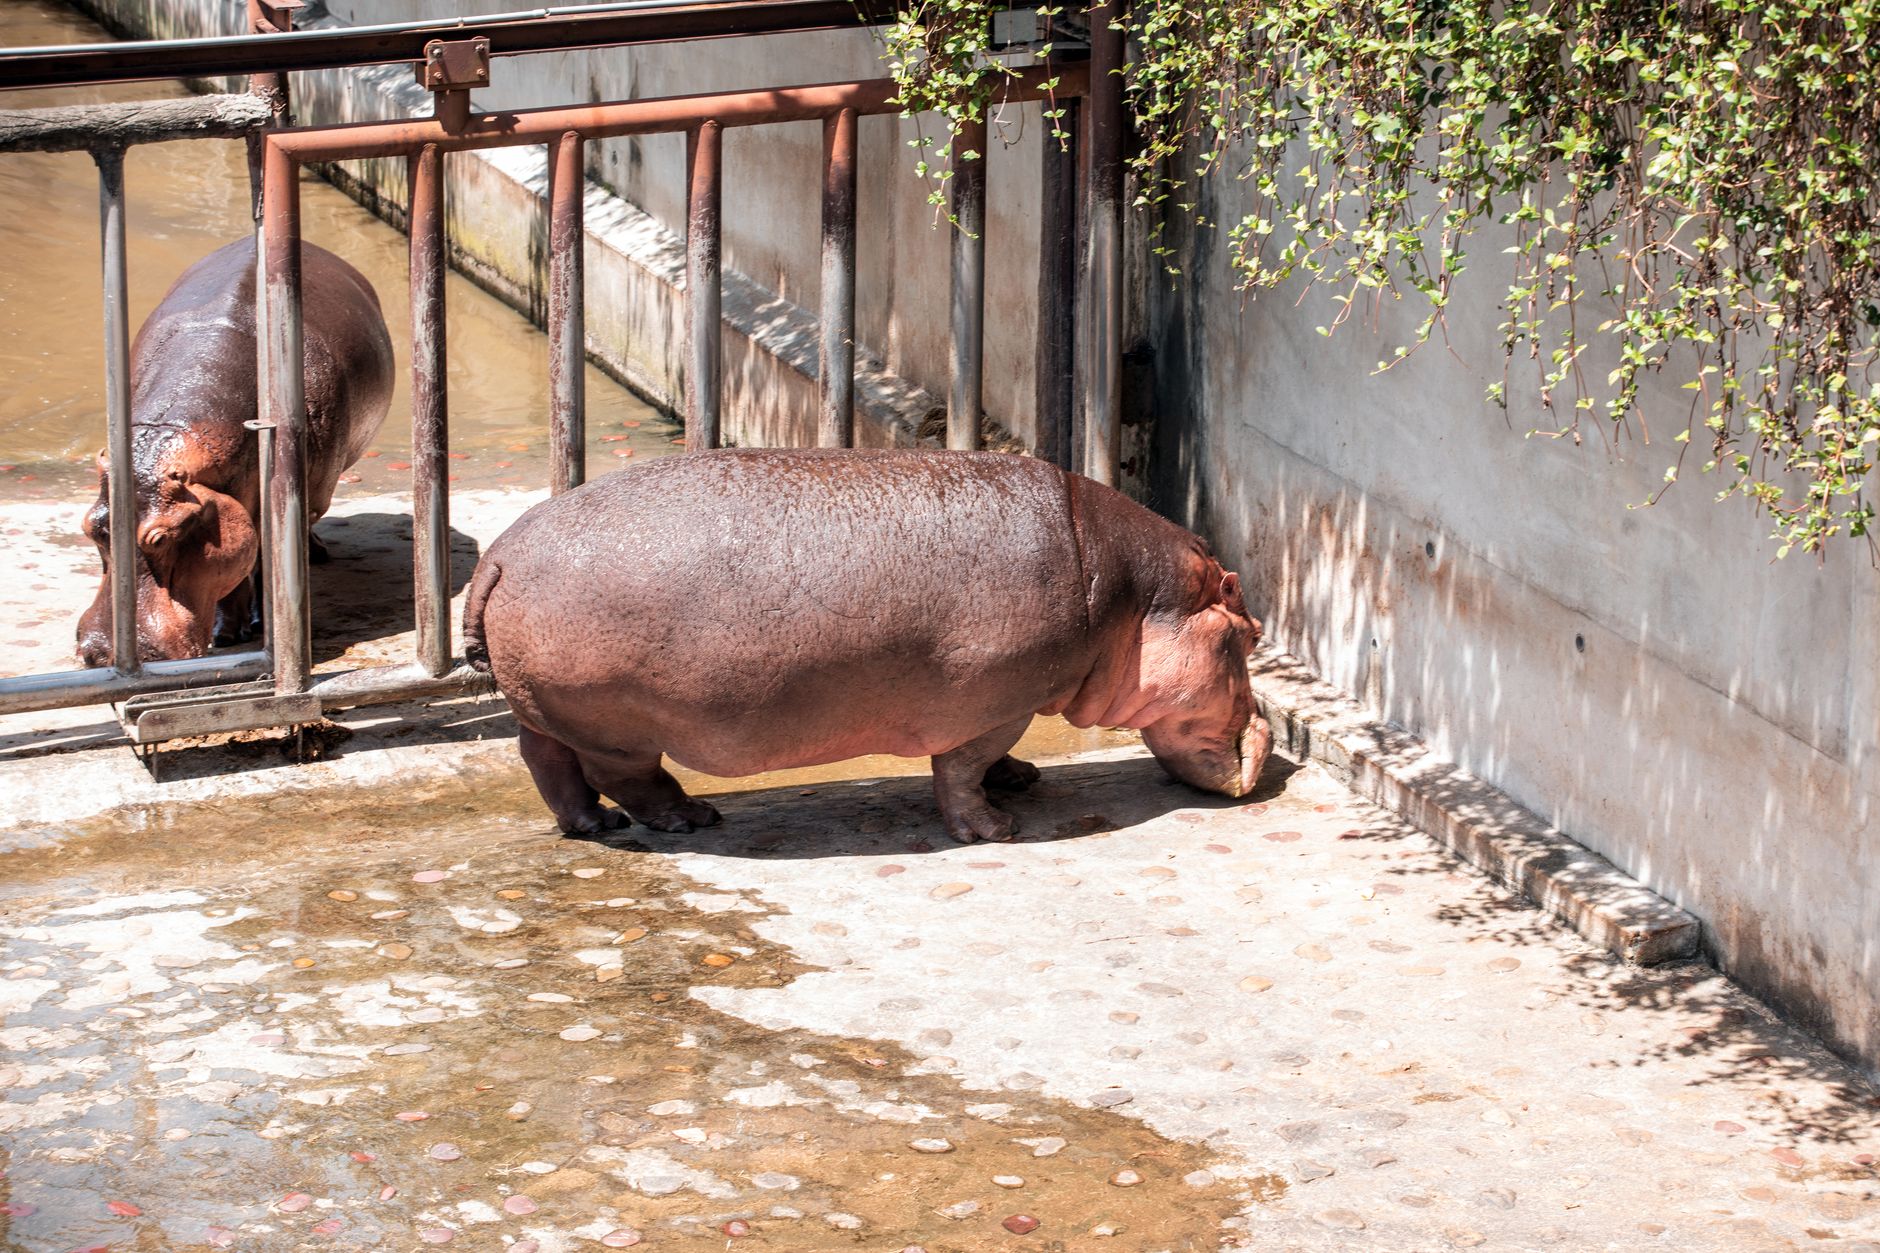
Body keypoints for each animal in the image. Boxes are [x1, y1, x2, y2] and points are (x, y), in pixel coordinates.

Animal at [76, 239, 394, 667]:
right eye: (90, 527)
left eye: (160, 538)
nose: (98, 654)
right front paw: (227, 633)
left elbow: (266, 564)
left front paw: (256, 625)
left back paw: (314, 555)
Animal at [463, 449, 1270, 843]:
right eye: (1250, 633)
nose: (1270, 741)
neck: (1131, 596)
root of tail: (499, 552)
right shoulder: (994, 702)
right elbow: (961, 769)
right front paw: (996, 830)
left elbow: (992, 761)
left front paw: (1023, 779)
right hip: (615, 725)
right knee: (628, 776)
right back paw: (691, 817)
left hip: (550, 708)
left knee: (545, 758)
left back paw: (592, 825)